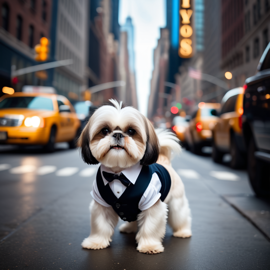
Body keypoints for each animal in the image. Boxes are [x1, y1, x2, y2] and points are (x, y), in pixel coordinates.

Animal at [78, 100, 192, 254]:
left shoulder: (152, 205)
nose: (118, 134)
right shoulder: (101, 204)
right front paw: (96, 242)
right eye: (105, 131)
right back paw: (128, 228)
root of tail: (164, 161)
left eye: (131, 131)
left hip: (176, 203)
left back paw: (183, 231)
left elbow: (150, 227)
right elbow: (100, 225)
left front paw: (149, 246)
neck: (119, 174)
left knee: (180, 216)